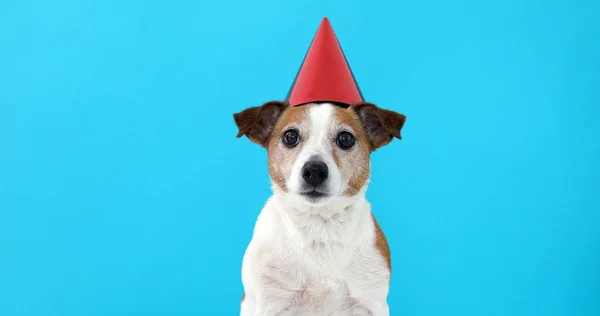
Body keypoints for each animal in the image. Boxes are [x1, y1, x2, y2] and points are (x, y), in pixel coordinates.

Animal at [232, 99, 406, 316]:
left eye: (345, 139)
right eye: (290, 136)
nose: (314, 170)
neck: (320, 226)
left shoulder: (372, 303)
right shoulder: (270, 304)